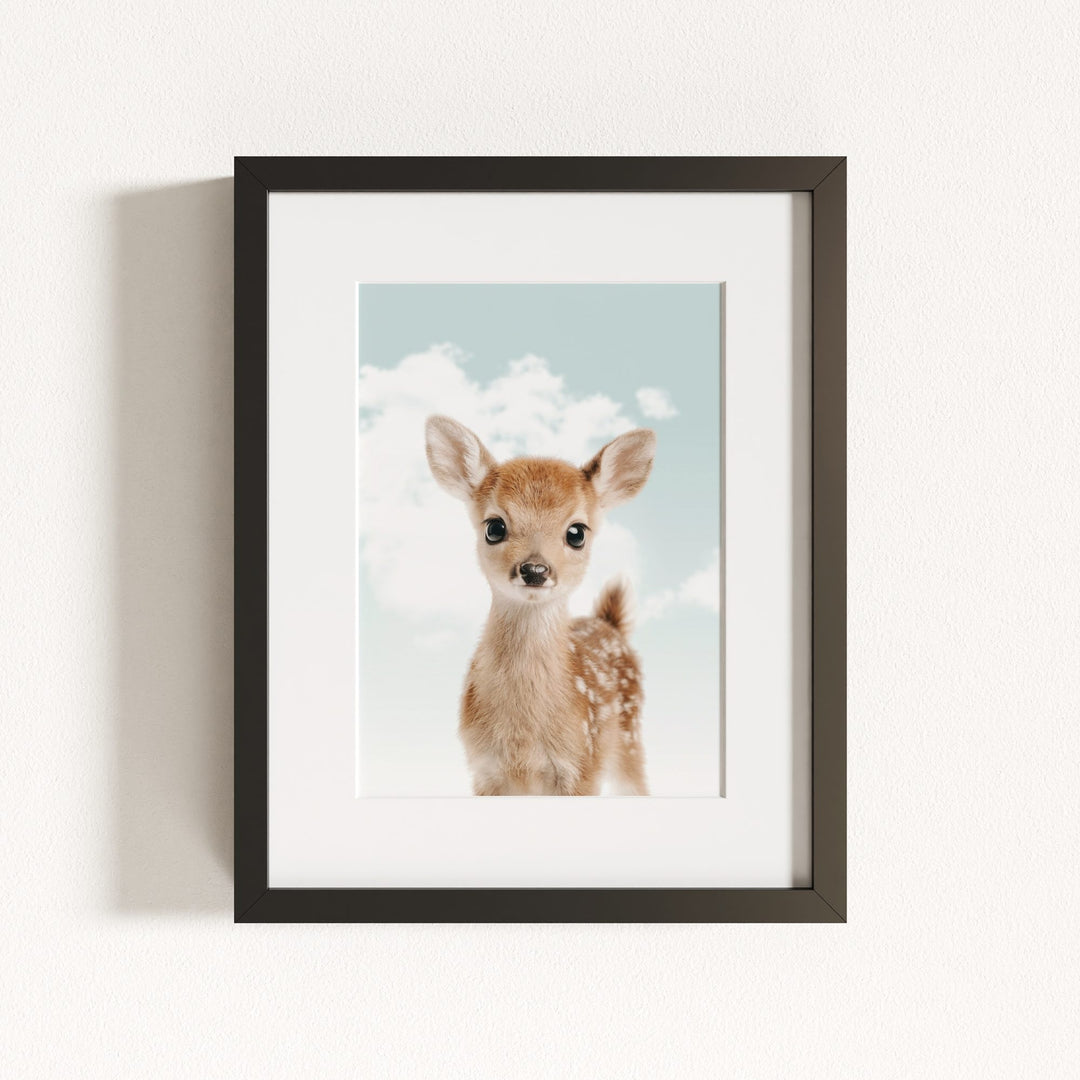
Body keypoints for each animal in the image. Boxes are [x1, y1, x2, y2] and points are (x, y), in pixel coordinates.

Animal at [424, 415, 656, 796]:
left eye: (577, 532)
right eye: (494, 527)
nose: (535, 570)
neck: (523, 740)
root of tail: (610, 623)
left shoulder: (582, 766)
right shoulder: (484, 769)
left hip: (629, 737)